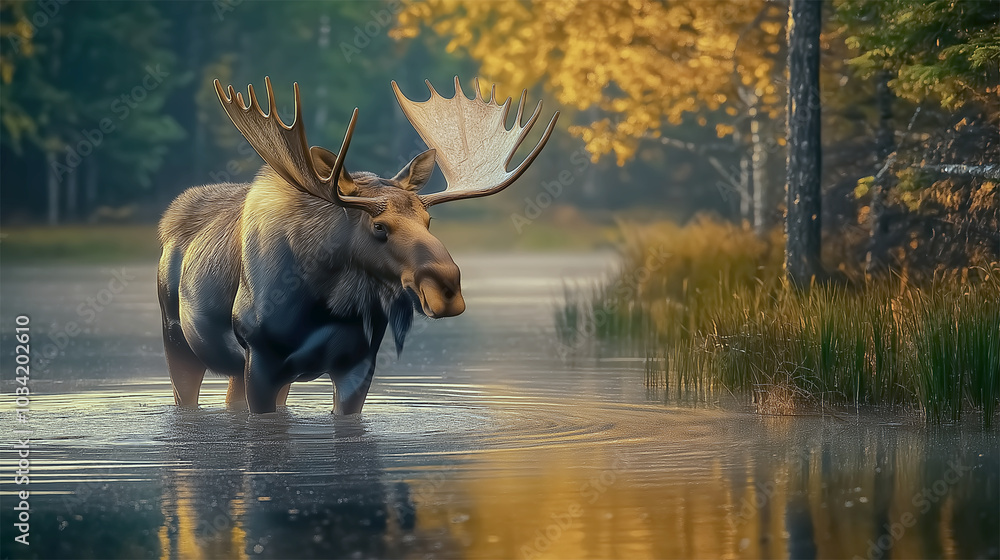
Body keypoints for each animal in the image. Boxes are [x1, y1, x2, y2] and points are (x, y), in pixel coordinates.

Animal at [157, 77, 558, 414]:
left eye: (428, 221)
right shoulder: (260, 359)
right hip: (177, 341)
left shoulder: (359, 362)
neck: (325, 305)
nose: (447, 289)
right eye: (379, 226)